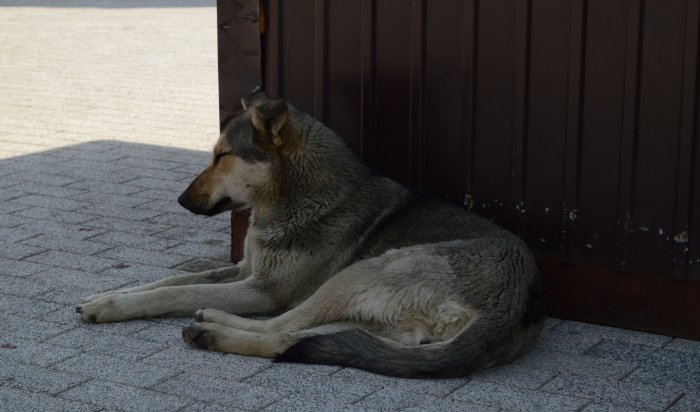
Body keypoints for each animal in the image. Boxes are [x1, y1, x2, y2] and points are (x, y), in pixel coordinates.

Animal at [78, 91, 548, 378]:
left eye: (221, 157)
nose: (179, 200)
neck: (291, 196)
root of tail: (519, 304)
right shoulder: (244, 269)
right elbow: (168, 281)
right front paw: (107, 297)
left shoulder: (263, 289)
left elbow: (177, 292)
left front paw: (116, 307)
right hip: (375, 313)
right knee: (300, 338)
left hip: (362, 272)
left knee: (280, 326)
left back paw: (214, 326)